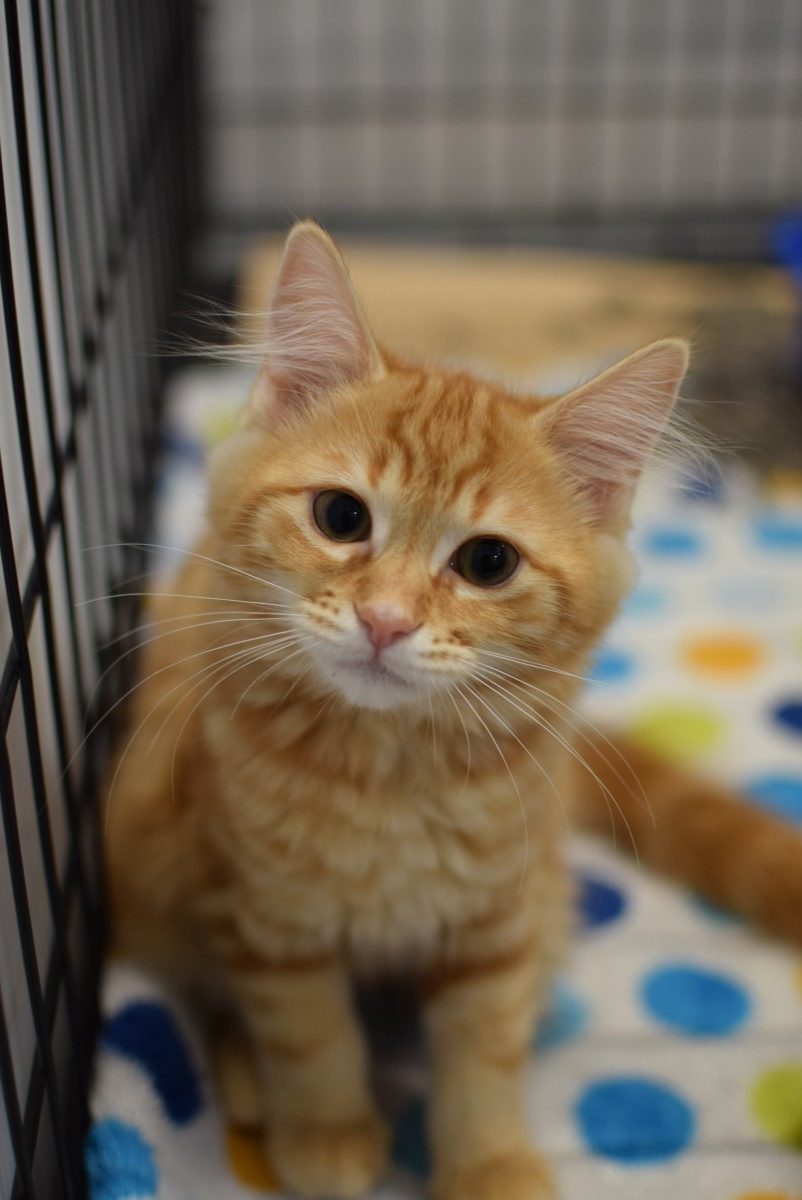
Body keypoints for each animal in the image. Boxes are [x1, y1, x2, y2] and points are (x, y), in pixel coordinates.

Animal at [105, 221, 802, 1200]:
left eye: (487, 564)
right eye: (340, 516)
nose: (386, 620)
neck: (389, 772)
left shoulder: (495, 926)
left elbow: (483, 1056)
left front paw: (490, 1165)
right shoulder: (266, 914)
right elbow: (307, 1032)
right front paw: (325, 1131)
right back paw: (245, 1087)